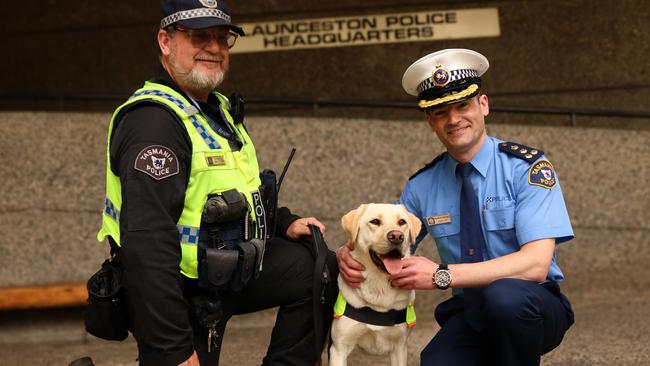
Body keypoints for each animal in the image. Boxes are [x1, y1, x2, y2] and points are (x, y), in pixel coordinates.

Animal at [330, 203, 420, 366]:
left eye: (402, 222)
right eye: (375, 222)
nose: (397, 236)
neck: (378, 285)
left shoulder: (400, 347)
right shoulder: (338, 349)